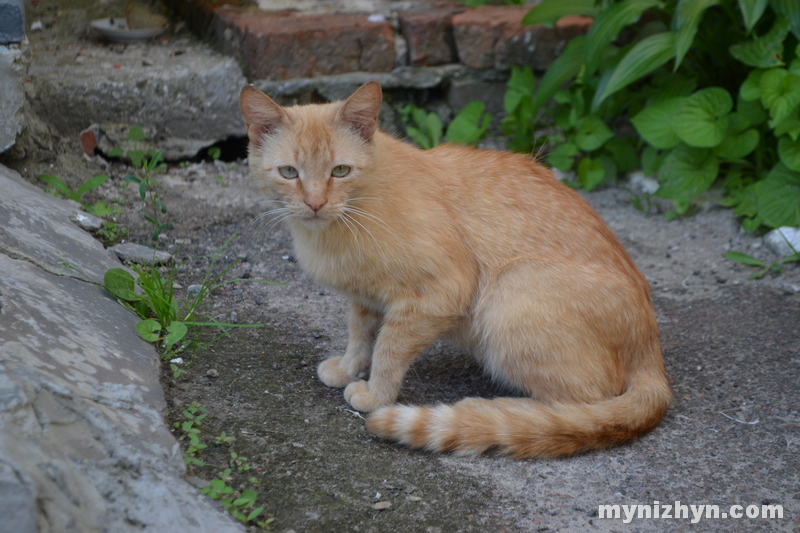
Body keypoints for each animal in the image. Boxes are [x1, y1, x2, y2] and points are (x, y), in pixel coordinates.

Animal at [241, 81, 672, 456]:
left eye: (340, 171)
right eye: (289, 173)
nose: (314, 204)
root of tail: (652, 354)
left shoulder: (440, 292)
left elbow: (388, 349)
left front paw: (376, 394)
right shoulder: (365, 298)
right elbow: (360, 338)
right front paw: (348, 369)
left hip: (510, 291)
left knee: (581, 408)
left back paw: (499, 415)